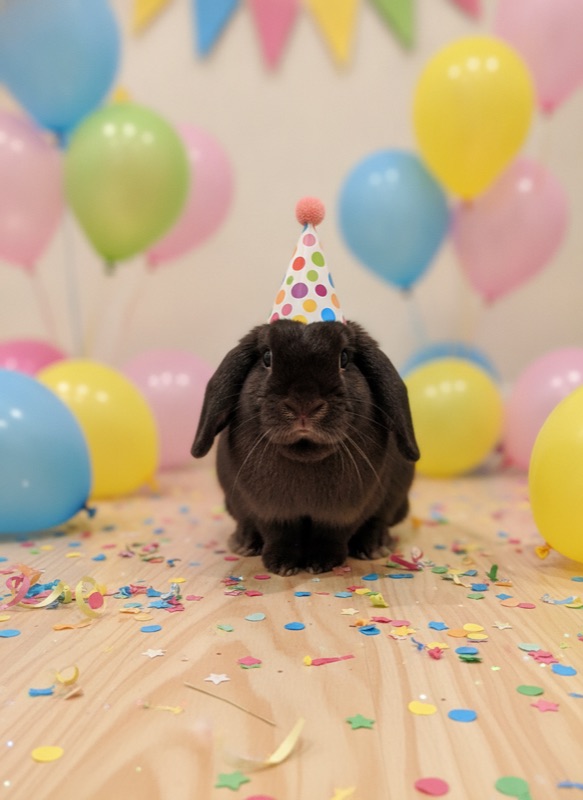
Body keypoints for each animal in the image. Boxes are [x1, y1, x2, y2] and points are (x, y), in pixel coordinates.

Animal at [191, 319, 420, 576]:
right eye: (267, 357)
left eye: (344, 358)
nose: (304, 405)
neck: (305, 454)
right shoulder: (271, 512)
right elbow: (280, 535)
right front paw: (281, 565)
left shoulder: (341, 514)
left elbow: (330, 535)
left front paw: (321, 563)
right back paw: (244, 543)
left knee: (378, 520)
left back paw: (374, 547)